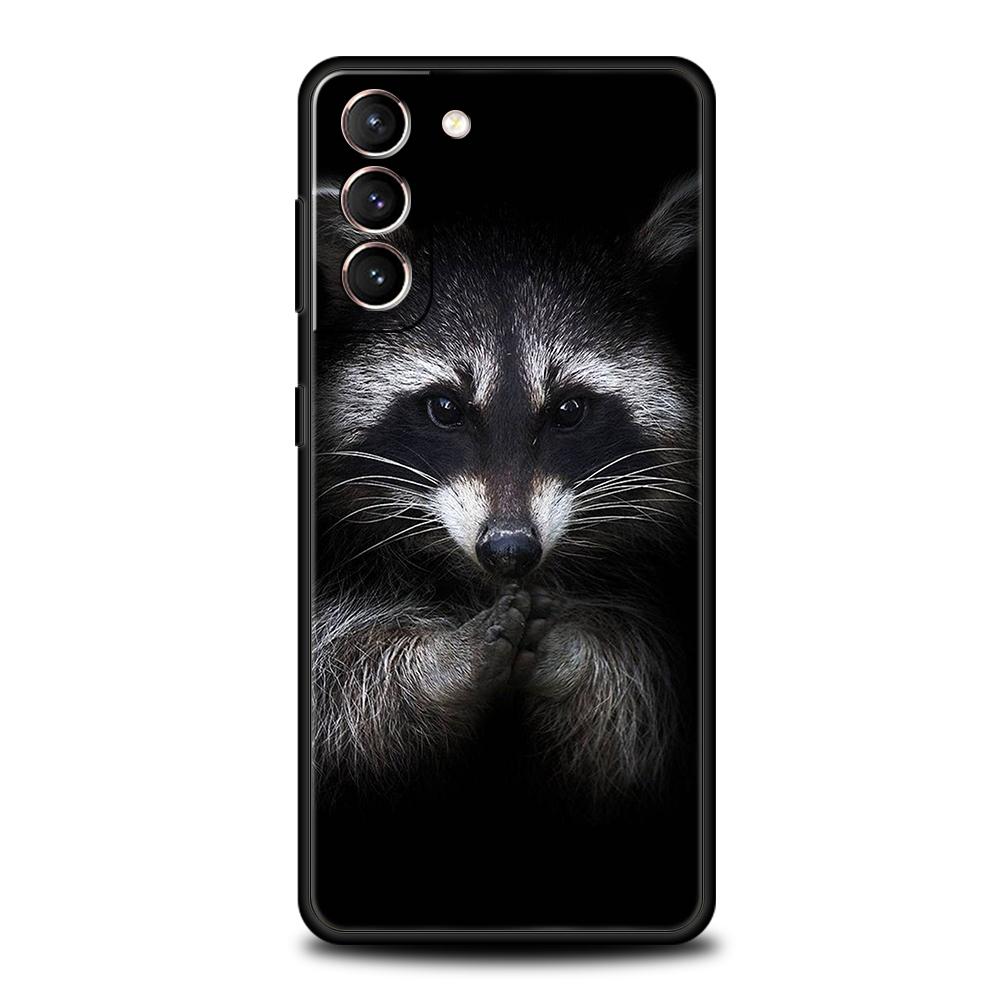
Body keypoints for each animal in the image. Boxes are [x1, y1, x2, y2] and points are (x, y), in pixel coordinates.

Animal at [311, 177, 700, 809]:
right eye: (445, 408)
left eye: (569, 410)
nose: (510, 549)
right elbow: (337, 678)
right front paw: (436, 670)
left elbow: (635, 717)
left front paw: (577, 661)